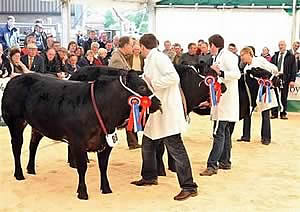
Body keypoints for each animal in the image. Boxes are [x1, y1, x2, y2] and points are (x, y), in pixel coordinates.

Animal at [1, 68, 162, 200]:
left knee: (33, 144)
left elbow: (103, 166)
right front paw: (83, 193)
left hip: (37, 125)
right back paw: (19, 174)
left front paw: (106, 189)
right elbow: (82, 168)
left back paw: (31, 169)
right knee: (16, 147)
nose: (159, 103)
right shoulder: (77, 143)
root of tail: (15, 79)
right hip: (15, 121)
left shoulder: (106, 141)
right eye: (142, 87)